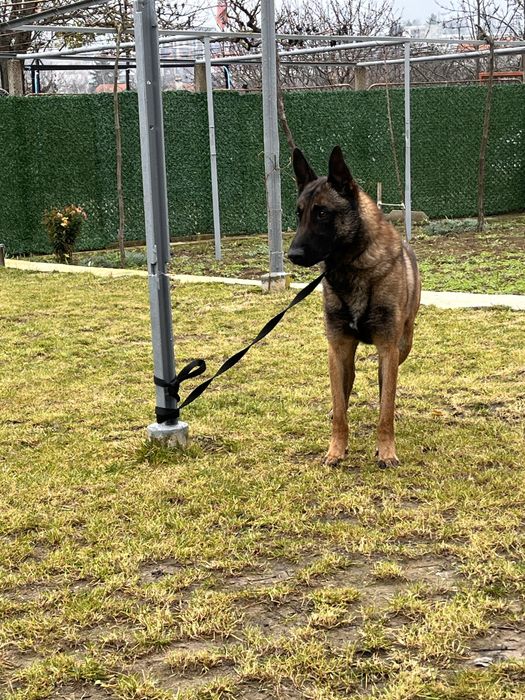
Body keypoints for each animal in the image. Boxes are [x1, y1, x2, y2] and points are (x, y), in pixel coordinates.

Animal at [288, 146, 421, 468]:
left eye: (322, 213)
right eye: (299, 213)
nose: (292, 255)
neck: (352, 268)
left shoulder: (388, 347)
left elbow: (385, 409)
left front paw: (386, 451)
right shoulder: (337, 348)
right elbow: (340, 407)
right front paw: (336, 450)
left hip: (403, 345)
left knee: (385, 385)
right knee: (346, 388)